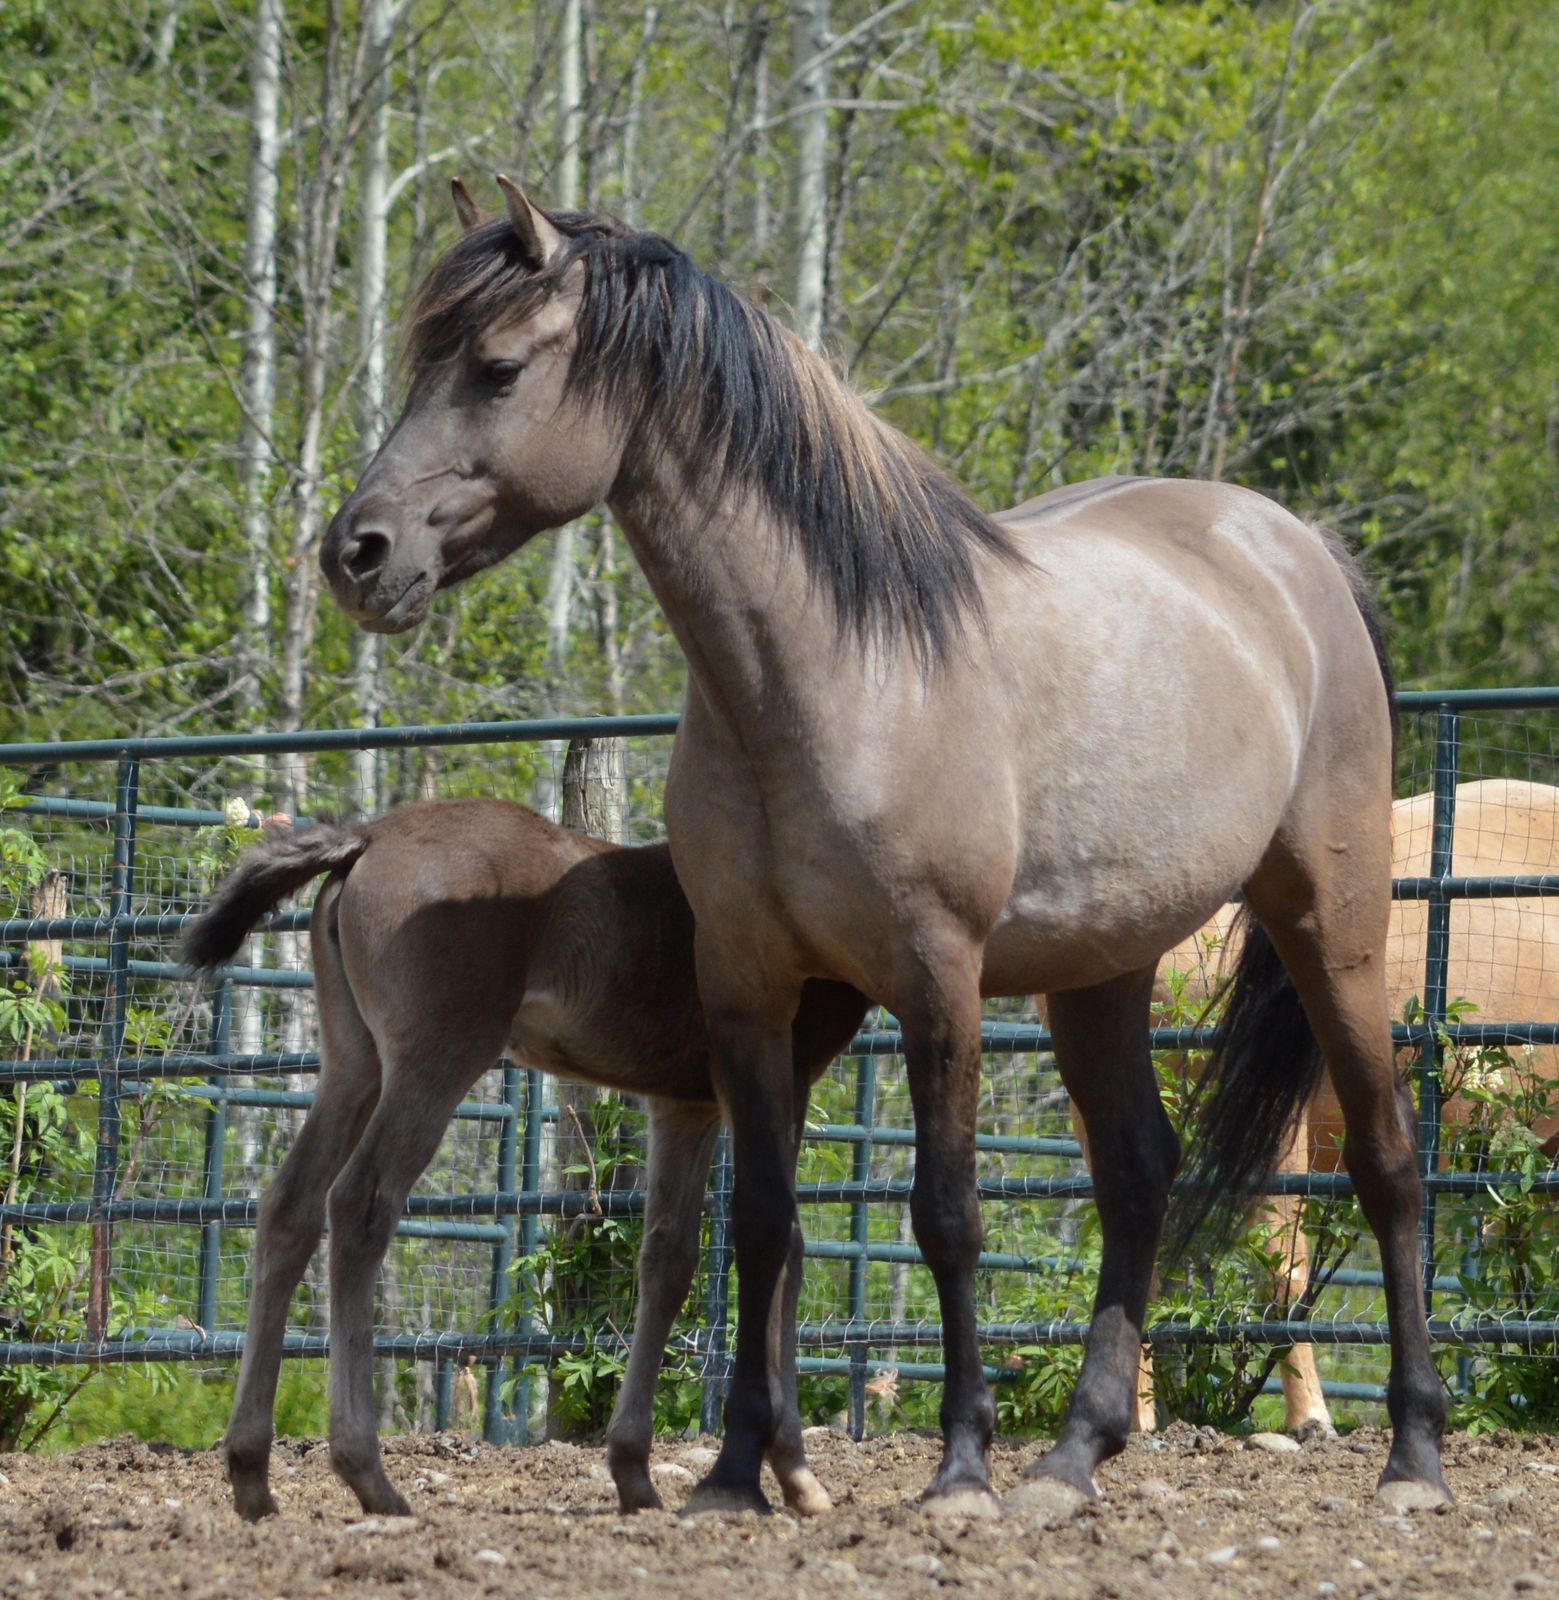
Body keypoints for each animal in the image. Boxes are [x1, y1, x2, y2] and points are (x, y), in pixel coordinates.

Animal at [181, 798, 866, 1522]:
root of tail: (366, 836)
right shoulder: (779, 1078)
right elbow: (784, 1241)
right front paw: (794, 1470)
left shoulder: (684, 1103)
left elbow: (668, 1255)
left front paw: (634, 1471)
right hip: (437, 1055)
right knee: (360, 1202)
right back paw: (369, 1475)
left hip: (353, 1060)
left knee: (290, 1205)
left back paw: (252, 1474)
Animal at [317, 177, 1450, 1516]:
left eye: (496, 369)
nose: (357, 553)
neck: (832, 674)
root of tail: (1295, 550)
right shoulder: (745, 986)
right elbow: (762, 1219)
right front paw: (733, 1477)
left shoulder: (935, 979)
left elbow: (945, 1213)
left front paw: (956, 1467)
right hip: (1101, 969)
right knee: (1135, 1172)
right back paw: (1072, 1456)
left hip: (1334, 923)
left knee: (1383, 1160)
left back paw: (1410, 1454)